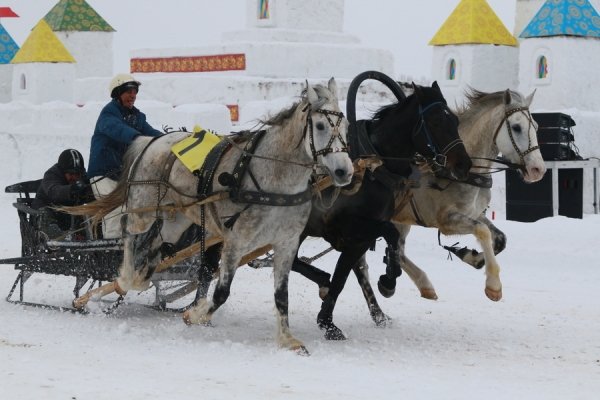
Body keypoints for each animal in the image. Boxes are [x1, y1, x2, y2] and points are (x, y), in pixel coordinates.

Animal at [78, 78, 354, 354]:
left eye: (347, 126)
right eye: (320, 125)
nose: (344, 171)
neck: (274, 179)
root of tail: (150, 140)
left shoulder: (286, 243)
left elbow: (281, 295)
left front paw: (287, 339)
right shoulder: (235, 241)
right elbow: (221, 292)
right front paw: (195, 314)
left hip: (175, 220)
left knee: (155, 244)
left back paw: (143, 274)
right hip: (142, 209)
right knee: (128, 231)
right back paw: (125, 278)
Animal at [290, 70, 474, 340]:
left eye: (455, 121)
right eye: (436, 122)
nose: (464, 165)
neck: (372, 168)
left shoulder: (358, 238)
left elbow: (346, 274)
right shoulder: (346, 228)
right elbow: (387, 236)